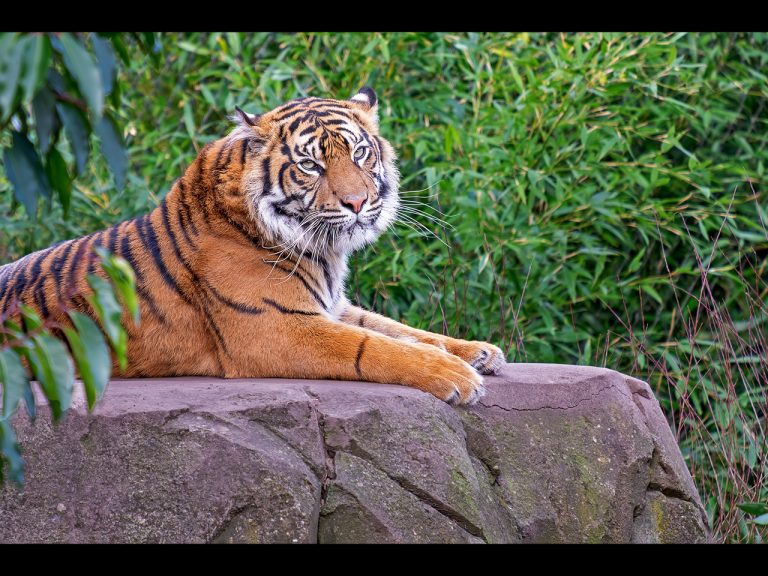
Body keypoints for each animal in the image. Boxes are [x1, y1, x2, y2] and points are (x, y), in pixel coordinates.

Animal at [0, 87, 505, 405]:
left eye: (360, 153)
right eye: (310, 165)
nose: (358, 202)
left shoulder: (331, 306)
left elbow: (400, 329)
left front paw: (479, 351)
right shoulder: (275, 327)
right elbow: (376, 347)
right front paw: (455, 376)